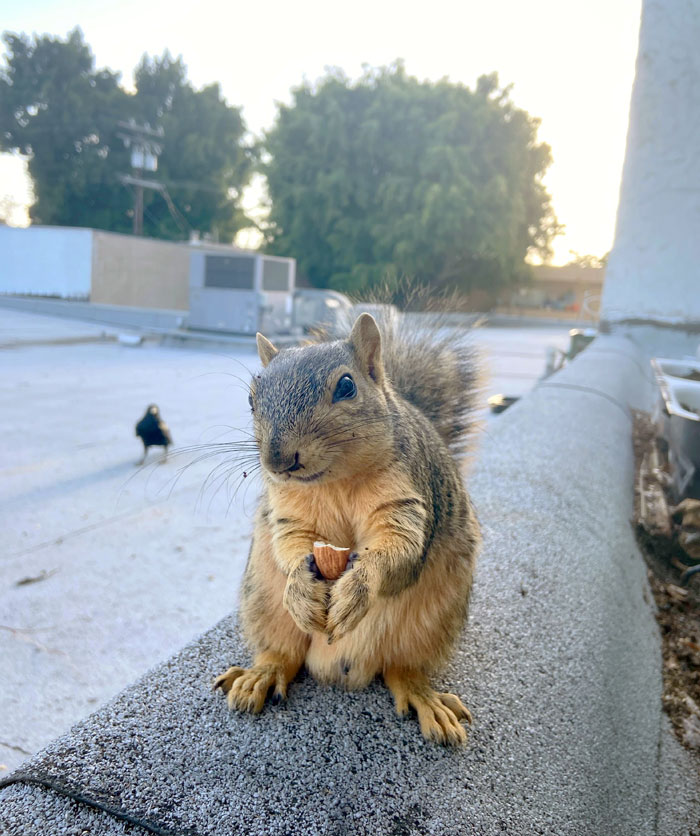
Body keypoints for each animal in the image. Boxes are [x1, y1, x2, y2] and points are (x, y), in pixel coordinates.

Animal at [214, 312, 481, 745]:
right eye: (251, 399)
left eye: (346, 386)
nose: (278, 460)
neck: (335, 482)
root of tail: (339, 665)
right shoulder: (288, 513)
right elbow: (290, 544)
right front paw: (300, 586)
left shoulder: (407, 500)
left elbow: (398, 548)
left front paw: (357, 587)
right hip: (264, 603)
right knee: (284, 652)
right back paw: (262, 673)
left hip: (430, 625)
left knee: (400, 667)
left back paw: (424, 696)